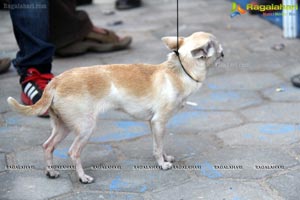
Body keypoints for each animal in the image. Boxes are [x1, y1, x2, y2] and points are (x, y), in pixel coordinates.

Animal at [7, 32, 223, 184]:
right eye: (219, 50)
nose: (224, 52)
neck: (179, 71)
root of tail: (55, 81)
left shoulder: (154, 124)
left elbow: (158, 146)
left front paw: (164, 157)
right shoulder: (159, 122)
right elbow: (158, 147)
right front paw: (162, 164)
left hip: (64, 126)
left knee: (48, 145)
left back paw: (50, 172)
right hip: (85, 128)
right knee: (73, 152)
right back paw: (83, 177)